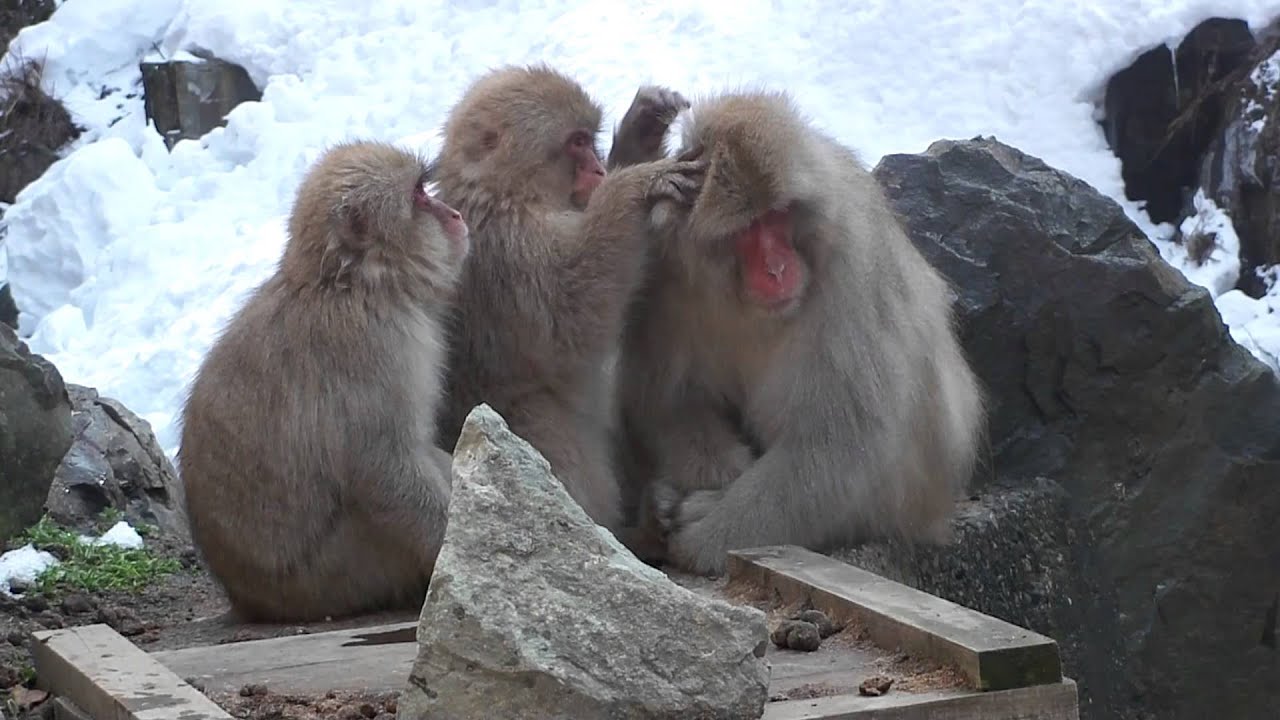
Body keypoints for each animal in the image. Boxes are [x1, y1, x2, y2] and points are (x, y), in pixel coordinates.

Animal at [177, 140, 470, 622]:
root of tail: (247, 600)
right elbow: (383, 470)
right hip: (342, 572)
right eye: (417, 196)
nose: (454, 214)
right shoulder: (378, 348)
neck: (350, 285)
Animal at [429, 65, 703, 533]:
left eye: (590, 140)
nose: (596, 169)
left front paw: (643, 129)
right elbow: (571, 311)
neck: (505, 192)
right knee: (544, 424)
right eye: (576, 143)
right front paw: (636, 186)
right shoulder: (509, 245)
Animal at [615, 90, 986, 576]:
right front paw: (704, 486)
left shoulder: (851, 272)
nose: (777, 269)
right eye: (748, 229)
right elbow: (669, 400)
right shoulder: (663, 272)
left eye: (779, 216)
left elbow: (838, 442)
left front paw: (704, 534)